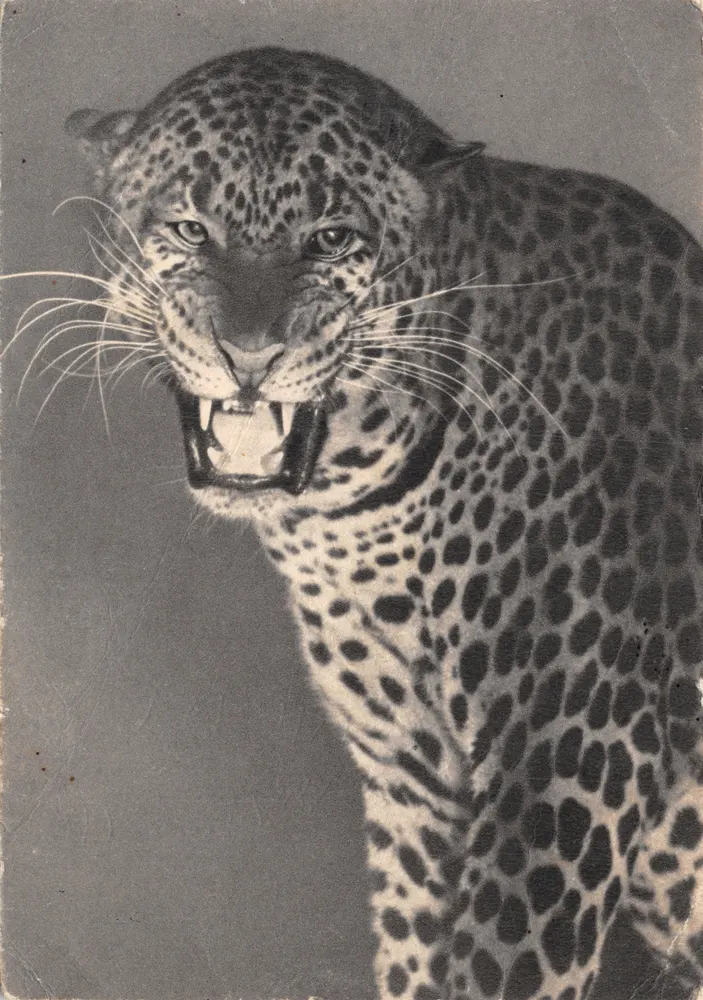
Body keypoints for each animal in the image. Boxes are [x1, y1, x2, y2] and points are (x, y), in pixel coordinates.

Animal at [53, 46, 703, 1000]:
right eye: (188, 230)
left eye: (331, 239)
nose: (249, 355)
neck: (351, 521)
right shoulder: (415, 793)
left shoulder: (570, 758)